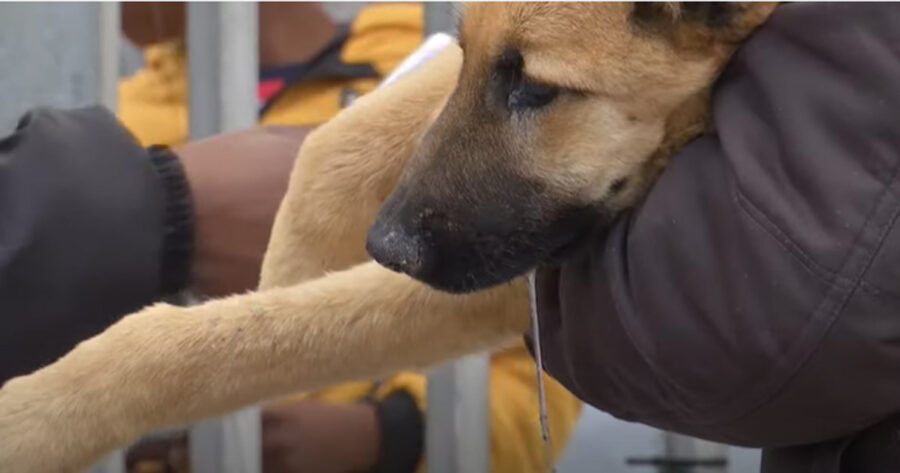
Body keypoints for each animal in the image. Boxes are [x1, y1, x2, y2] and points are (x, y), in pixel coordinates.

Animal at [0, 1, 772, 470]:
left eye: (539, 90)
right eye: (468, 52)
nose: (386, 246)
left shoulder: (504, 279)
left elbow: (198, 341)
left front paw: (30, 419)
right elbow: (345, 133)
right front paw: (290, 258)